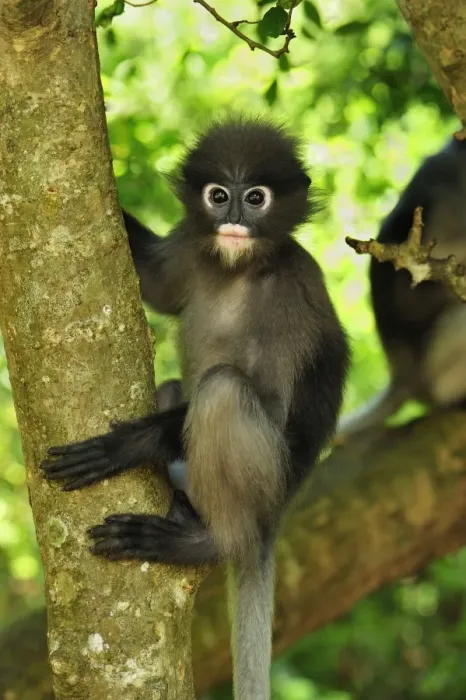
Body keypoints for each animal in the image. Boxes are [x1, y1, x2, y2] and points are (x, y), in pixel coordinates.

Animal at [41, 117, 349, 700]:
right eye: (218, 195)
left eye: (256, 198)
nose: (233, 220)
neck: (238, 269)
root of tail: (271, 517)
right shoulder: (191, 246)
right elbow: (157, 287)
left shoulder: (291, 291)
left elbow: (272, 402)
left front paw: (125, 444)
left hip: (264, 479)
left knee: (223, 390)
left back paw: (204, 541)